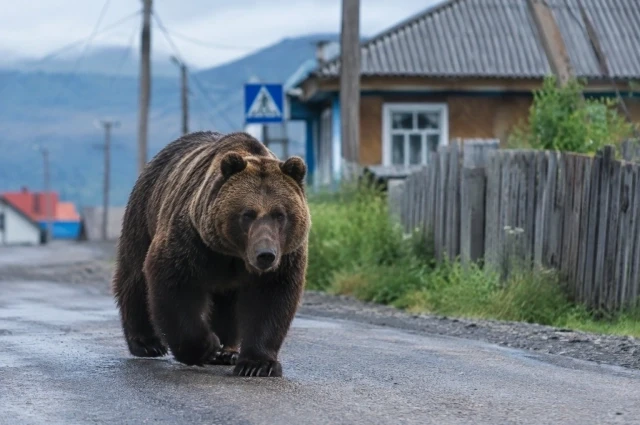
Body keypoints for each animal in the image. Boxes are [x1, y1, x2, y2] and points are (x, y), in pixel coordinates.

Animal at [111, 130, 311, 377]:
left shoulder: (284, 258)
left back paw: (229, 351)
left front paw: (257, 364)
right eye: (248, 214)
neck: (234, 254)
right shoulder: (192, 240)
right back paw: (147, 343)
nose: (265, 254)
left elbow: (270, 299)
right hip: (143, 213)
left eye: (280, 215)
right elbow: (174, 284)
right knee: (135, 277)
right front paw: (206, 346)